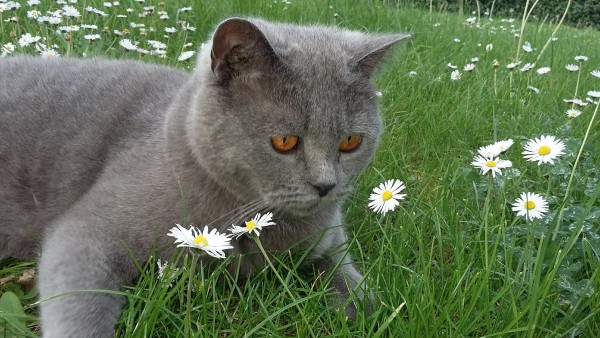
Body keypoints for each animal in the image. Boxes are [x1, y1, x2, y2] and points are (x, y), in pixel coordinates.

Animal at [0, 17, 408, 336]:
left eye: (351, 142)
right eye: (285, 141)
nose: (326, 186)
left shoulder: (330, 239)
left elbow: (351, 281)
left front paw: (373, 313)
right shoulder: (87, 232)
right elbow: (79, 302)